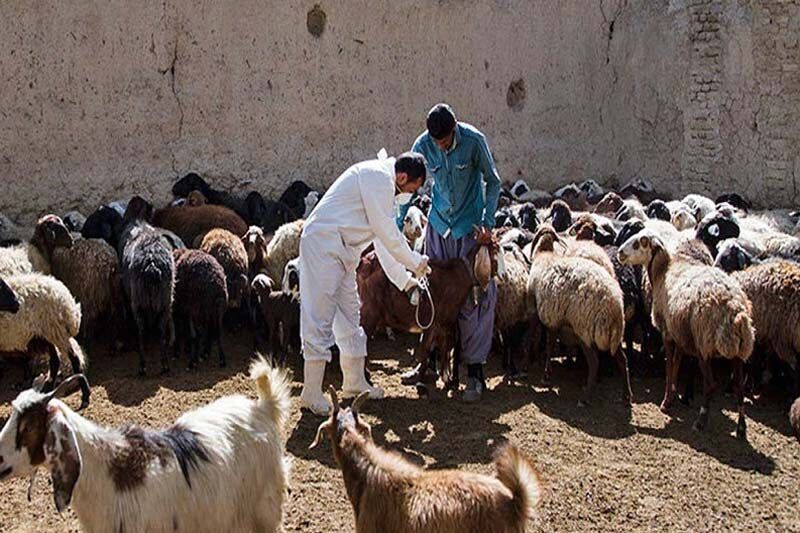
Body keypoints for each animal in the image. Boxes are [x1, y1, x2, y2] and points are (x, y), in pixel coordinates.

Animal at [0, 274, 90, 408]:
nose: (17, 303)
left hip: (55, 330)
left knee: (74, 358)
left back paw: (85, 396)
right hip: (44, 334)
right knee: (55, 361)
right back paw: (47, 390)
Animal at [117, 197, 177, 376]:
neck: (138, 219)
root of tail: (152, 265)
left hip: (138, 301)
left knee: (142, 332)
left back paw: (142, 366)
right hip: (165, 300)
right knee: (161, 331)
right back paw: (165, 364)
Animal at [524, 223, 632, 404]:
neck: (544, 253)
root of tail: (615, 306)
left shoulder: (538, 312)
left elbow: (541, 341)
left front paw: (540, 372)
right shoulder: (556, 320)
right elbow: (550, 343)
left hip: (584, 330)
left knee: (594, 362)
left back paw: (586, 397)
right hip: (613, 336)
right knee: (622, 359)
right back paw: (626, 395)